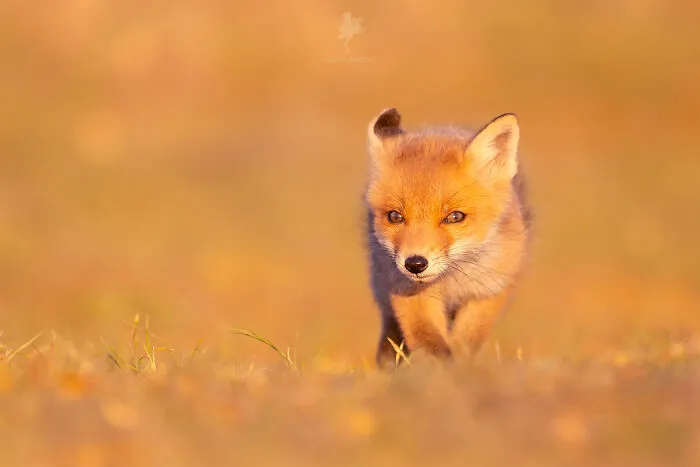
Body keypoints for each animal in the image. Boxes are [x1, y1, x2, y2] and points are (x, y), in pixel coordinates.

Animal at [365, 108, 532, 368]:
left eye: (454, 217)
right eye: (394, 216)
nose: (415, 264)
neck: (451, 282)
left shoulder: (491, 288)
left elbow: (468, 338)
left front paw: (460, 367)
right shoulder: (406, 290)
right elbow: (429, 341)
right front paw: (440, 370)